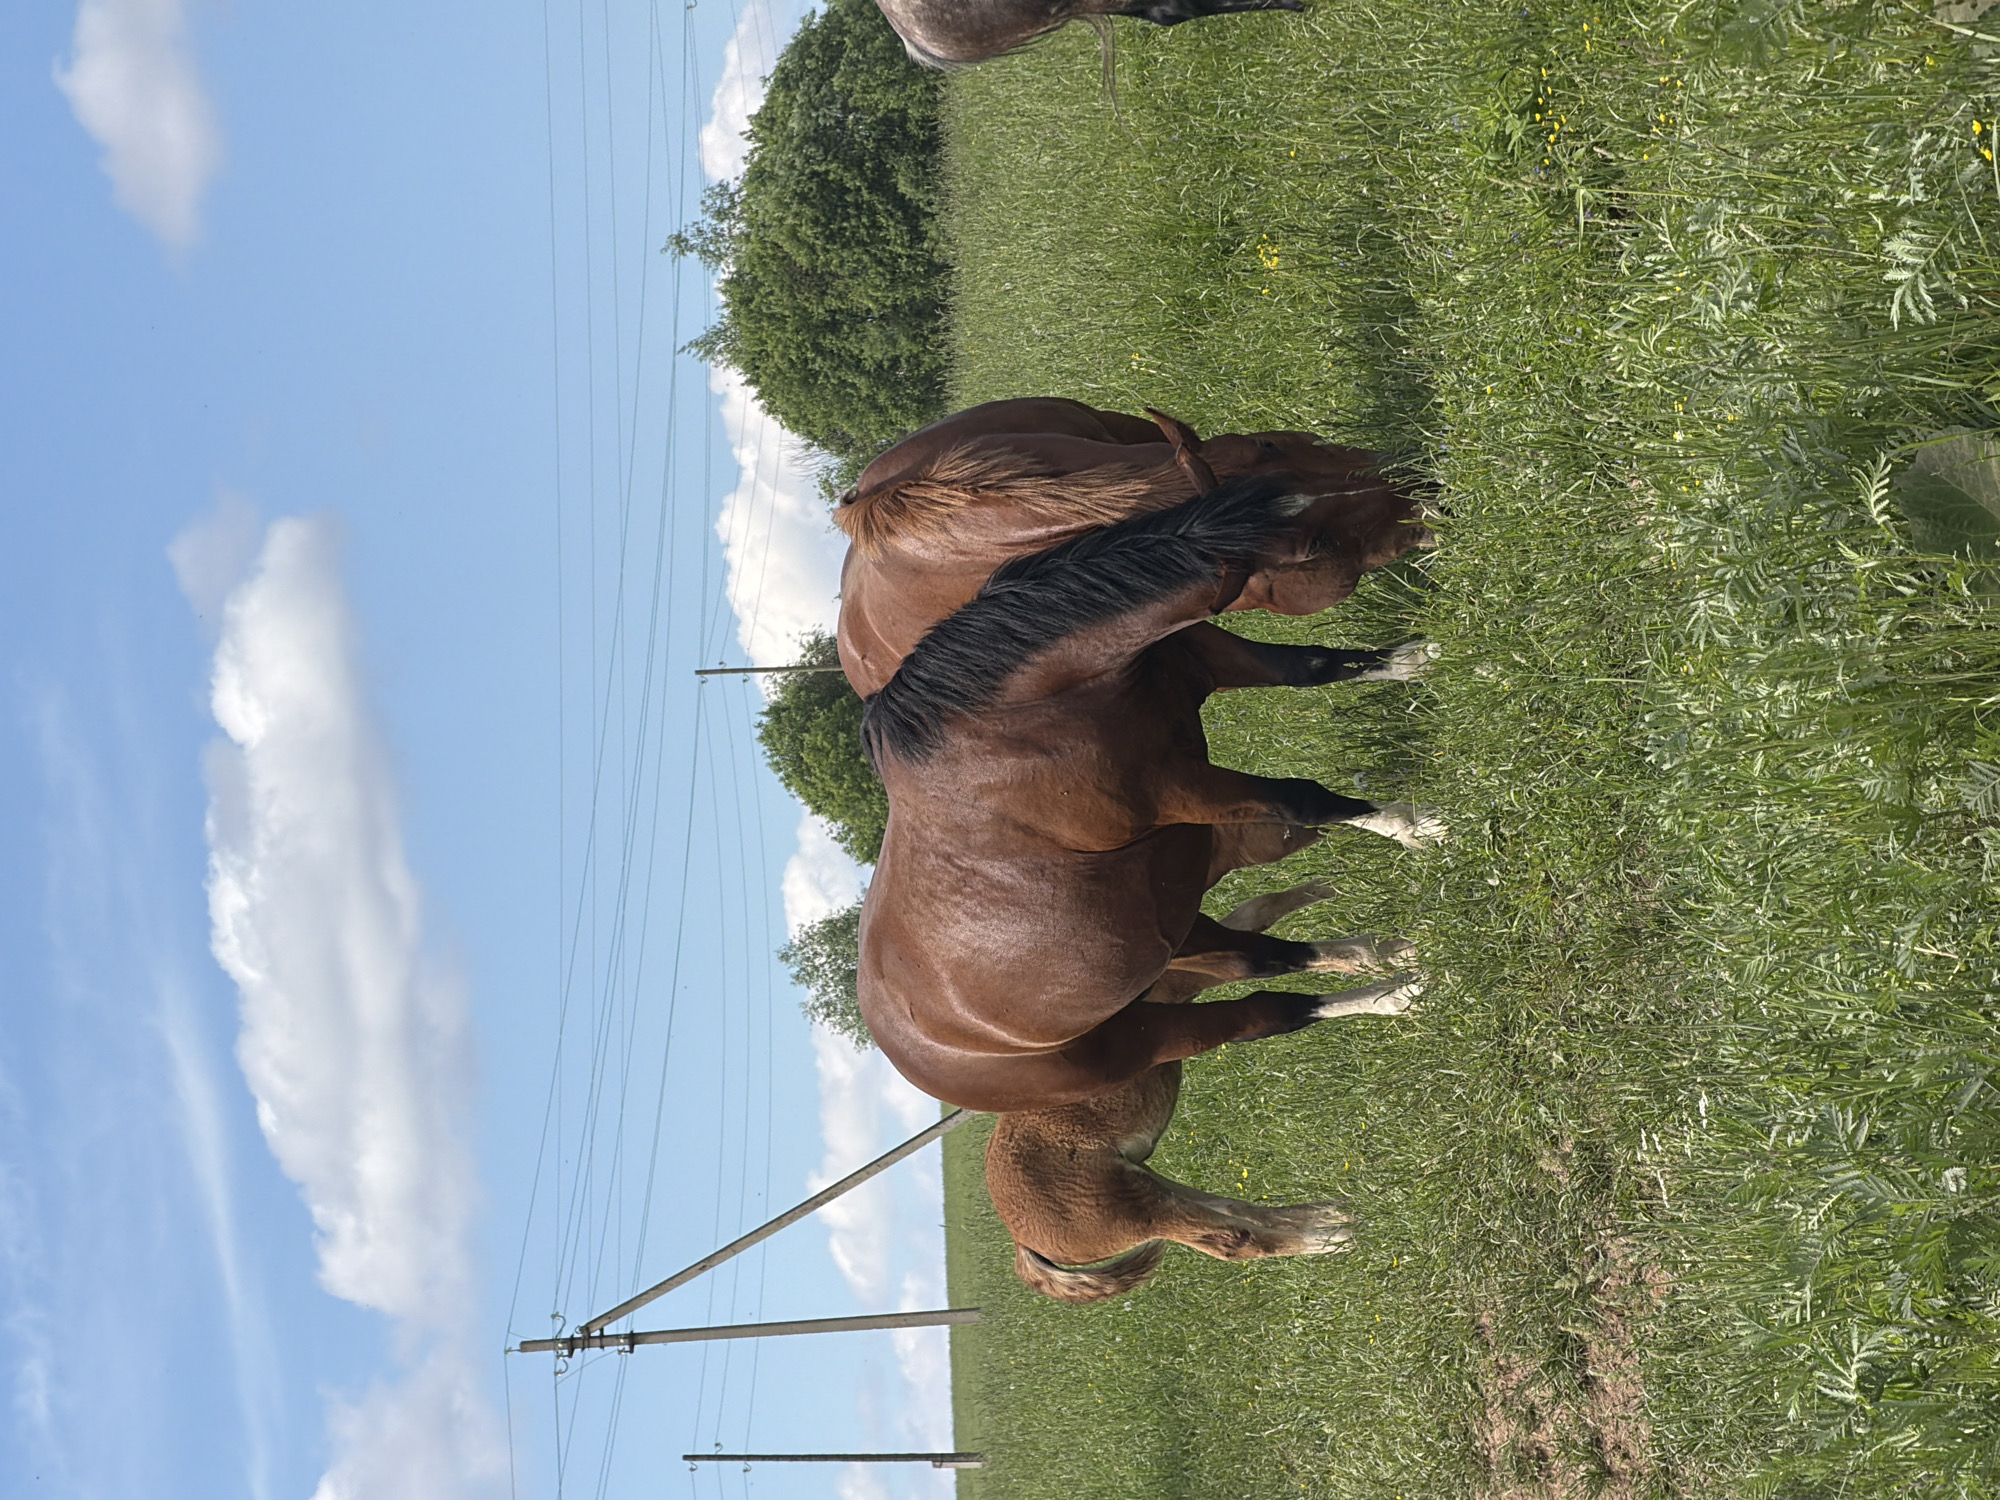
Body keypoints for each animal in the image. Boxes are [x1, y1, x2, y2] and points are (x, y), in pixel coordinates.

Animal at [855, 475, 1441, 1112]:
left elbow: (1316, 667)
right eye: (1314, 544)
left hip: (1175, 931)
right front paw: (1422, 827)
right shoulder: (1178, 789)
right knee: (1269, 1010)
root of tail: (916, 1053)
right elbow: (1306, 799)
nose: (1429, 502)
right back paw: (1397, 993)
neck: (1023, 708)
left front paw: (1424, 658)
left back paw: (1390, 959)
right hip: (1150, 1033)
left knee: (1262, 959)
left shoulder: (1209, 659)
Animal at [988, 881, 1407, 1302]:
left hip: (1148, 1182)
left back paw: (1327, 1214)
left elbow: (1259, 912)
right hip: (1143, 1211)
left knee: (1232, 1207)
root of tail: (1021, 1243)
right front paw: (1393, 989)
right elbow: (1285, 1001)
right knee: (1237, 1239)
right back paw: (1339, 1237)